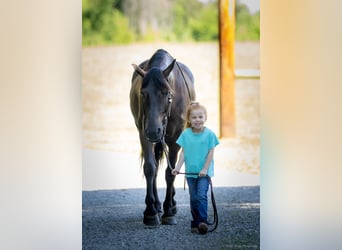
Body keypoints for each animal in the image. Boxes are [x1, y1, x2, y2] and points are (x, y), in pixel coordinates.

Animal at [130, 49, 195, 227]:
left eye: (167, 93)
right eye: (143, 93)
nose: (154, 131)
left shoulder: (175, 139)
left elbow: (170, 172)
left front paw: (168, 212)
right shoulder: (144, 134)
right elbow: (150, 168)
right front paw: (151, 212)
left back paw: (171, 205)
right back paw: (158, 206)